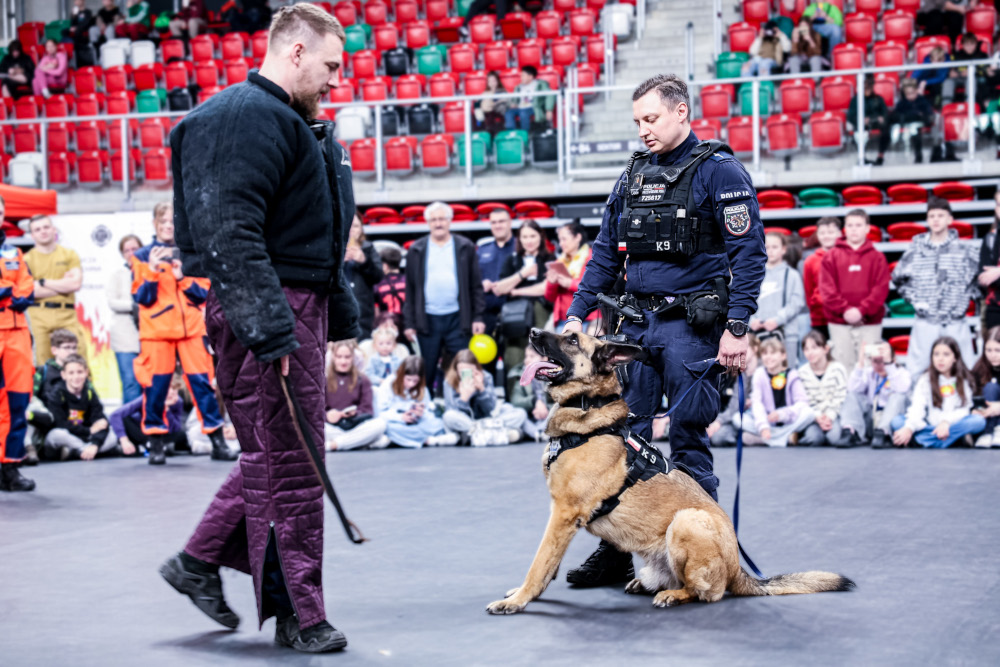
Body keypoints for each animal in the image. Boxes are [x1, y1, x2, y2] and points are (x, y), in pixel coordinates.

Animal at [486, 329, 854, 614]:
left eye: (572, 339)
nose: (533, 333)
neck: (589, 408)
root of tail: (738, 569)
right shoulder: (562, 518)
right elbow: (549, 564)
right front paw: (526, 594)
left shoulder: (562, 515)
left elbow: (539, 562)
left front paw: (519, 600)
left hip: (686, 521)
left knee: (709, 593)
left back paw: (674, 595)